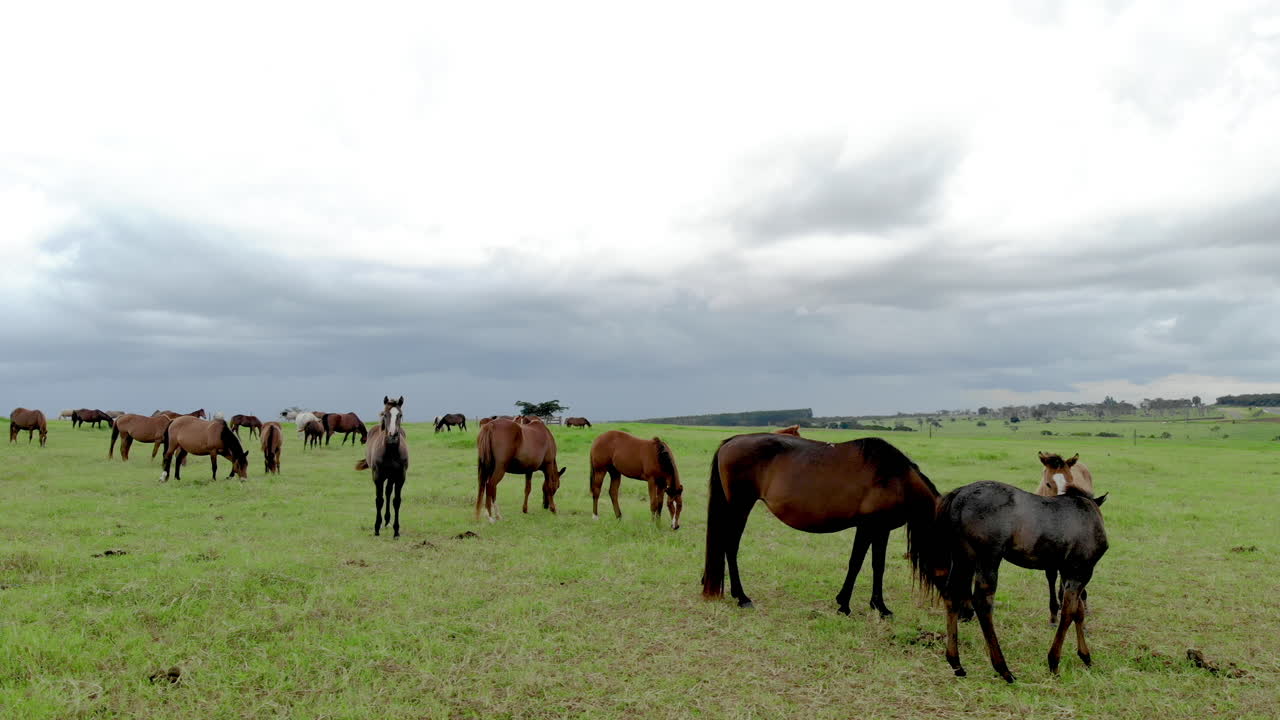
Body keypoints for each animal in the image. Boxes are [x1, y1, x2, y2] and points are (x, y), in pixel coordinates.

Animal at [355, 396, 409, 536]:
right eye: (385, 414)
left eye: (400, 415)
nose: (392, 436)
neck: (391, 452)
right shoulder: (378, 476)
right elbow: (379, 500)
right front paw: (376, 528)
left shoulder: (400, 477)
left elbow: (397, 501)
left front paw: (396, 531)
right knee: (386, 494)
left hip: (391, 477)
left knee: (388, 492)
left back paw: (387, 520)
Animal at [702, 433, 939, 617]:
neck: (895, 479)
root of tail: (732, 441)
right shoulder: (867, 527)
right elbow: (856, 563)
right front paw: (844, 605)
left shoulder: (881, 529)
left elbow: (877, 566)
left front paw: (879, 606)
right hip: (740, 507)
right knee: (730, 546)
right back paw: (742, 597)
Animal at [926, 481, 1108, 683]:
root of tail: (958, 494)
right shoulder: (1080, 571)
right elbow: (1069, 612)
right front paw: (1054, 662)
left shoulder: (1066, 571)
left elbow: (1079, 611)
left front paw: (1085, 656)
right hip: (988, 558)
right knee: (982, 602)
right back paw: (1003, 669)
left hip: (963, 558)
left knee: (951, 594)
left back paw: (956, 663)